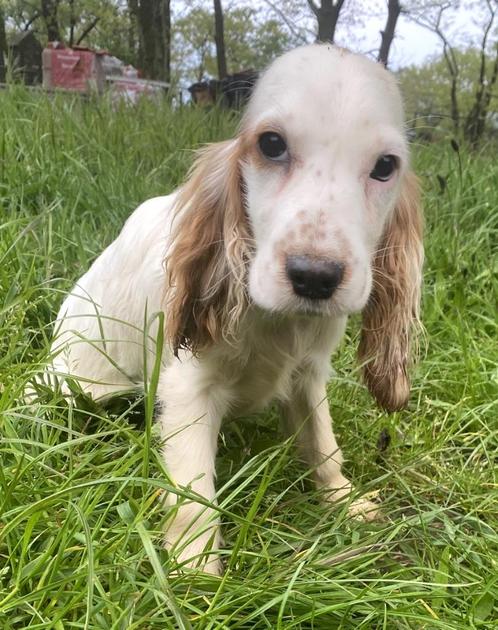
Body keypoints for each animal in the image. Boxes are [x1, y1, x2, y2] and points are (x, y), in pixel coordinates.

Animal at [46, 45, 422, 576]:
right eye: (271, 144)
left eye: (385, 166)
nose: (314, 277)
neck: (278, 320)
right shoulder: (188, 387)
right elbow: (193, 490)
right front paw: (194, 567)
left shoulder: (309, 373)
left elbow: (322, 443)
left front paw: (345, 501)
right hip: (69, 383)